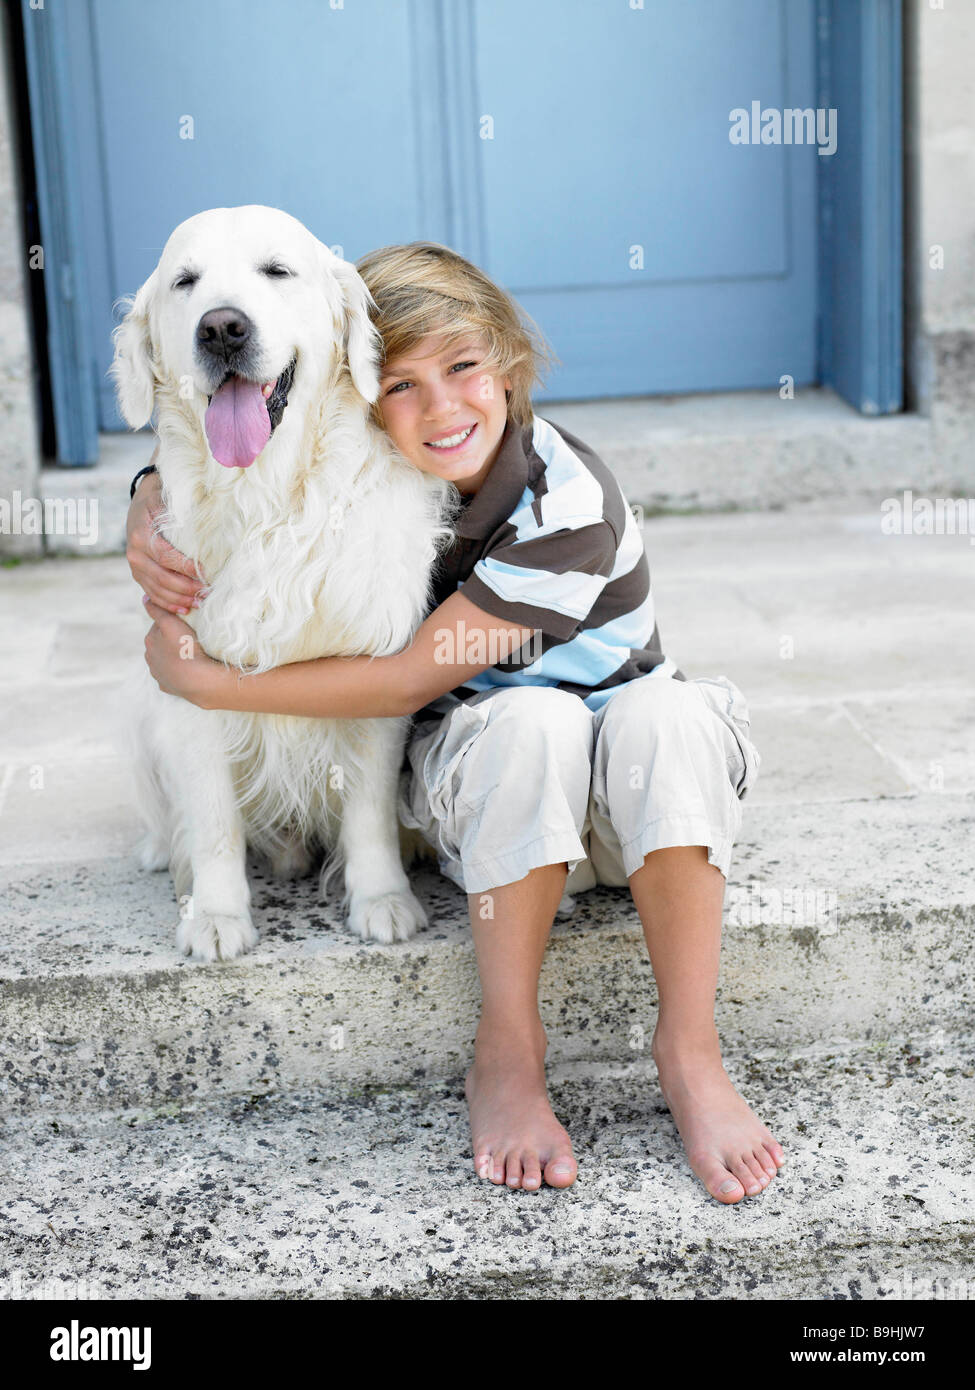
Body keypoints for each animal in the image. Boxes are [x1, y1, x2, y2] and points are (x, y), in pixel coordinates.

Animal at [111, 205, 453, 961]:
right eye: (186, 281)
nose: (221, 328)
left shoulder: (376, 672)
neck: (267, 499)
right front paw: (216, 913)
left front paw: (382, 900)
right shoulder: (185, 677)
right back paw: (165, 854)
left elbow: (367, 811)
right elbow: (213, 819)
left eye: (277, 270)